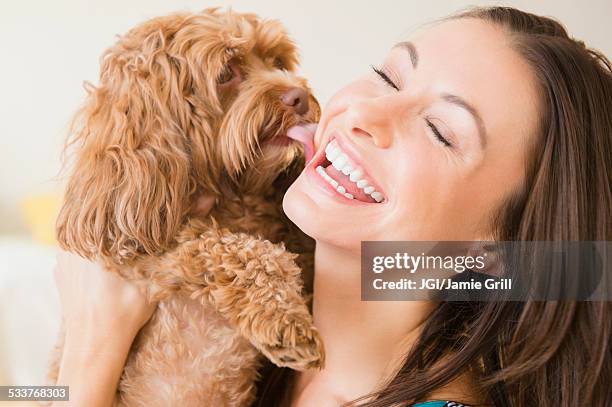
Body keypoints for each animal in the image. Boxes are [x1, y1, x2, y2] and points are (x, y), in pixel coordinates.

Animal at [49, 7, 326, 406]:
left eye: (277, 62)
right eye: (226, 73)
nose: (300, 97)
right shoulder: (152, 250)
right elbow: (240, 250)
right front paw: (288, 322)